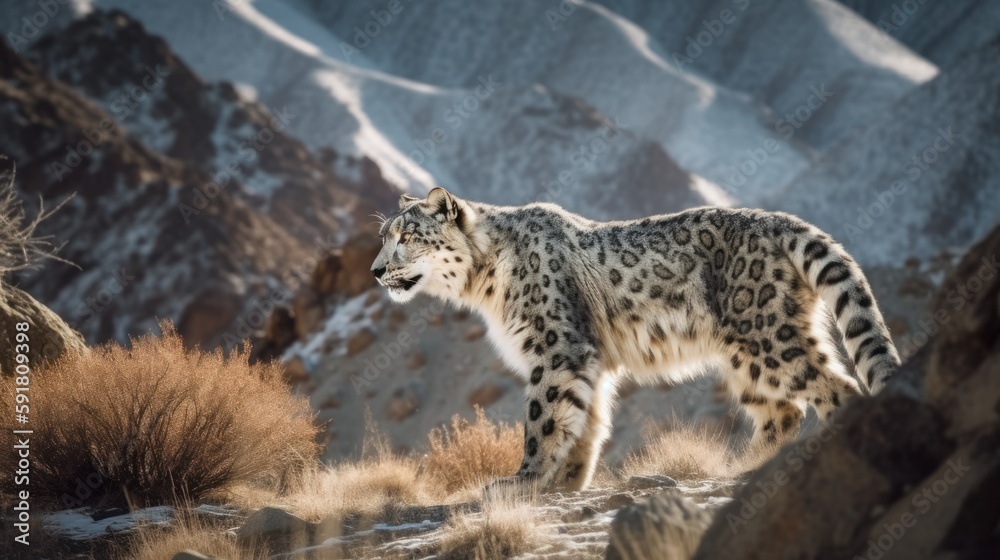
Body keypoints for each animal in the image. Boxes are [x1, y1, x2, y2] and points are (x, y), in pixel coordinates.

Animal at [371, 187, 900, 492]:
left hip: (769, 336)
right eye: (383, 236)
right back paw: (740, 469)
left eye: (407, 237)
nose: (376, 270)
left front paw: (522, 481)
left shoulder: (557, 347)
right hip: (745, 357)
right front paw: (566, 483)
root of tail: (782, 222)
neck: (487, 285)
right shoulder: (588, 359)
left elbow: (544, 417)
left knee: (837, 389)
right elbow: (586, 420)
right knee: (783, 412)